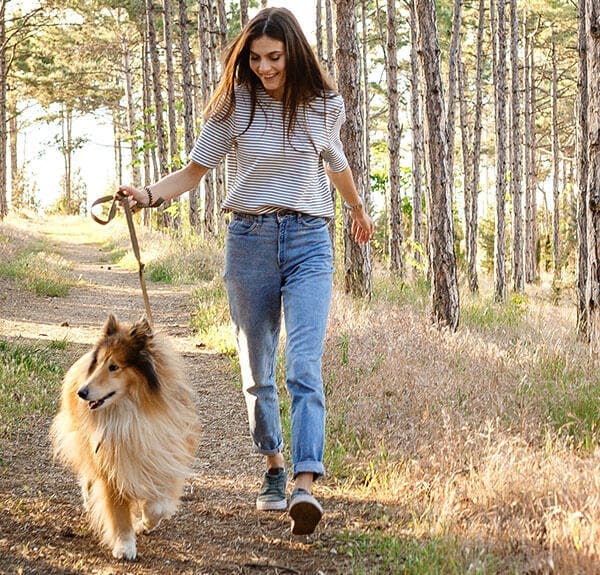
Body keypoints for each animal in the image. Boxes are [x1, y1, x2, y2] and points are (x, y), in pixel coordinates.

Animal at [50, 318, 200, 560]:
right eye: (98, 364)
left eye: (114, 367)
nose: (82, 392)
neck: (132, 411)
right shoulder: (111, 463)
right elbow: (118, 510)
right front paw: (125, 545)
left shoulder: (165, 456)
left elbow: (159, 505)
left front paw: (145, 523)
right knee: (88, 475)